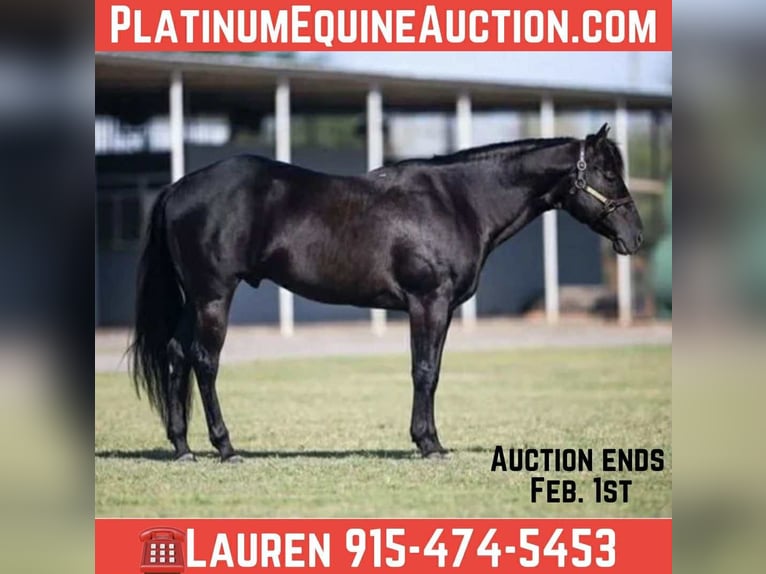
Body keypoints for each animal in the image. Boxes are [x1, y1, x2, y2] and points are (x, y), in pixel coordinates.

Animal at [130, 123, 643, 462]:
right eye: (608, 173)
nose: (635, 237)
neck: (459, 201)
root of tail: (178, 188)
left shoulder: (438, 308)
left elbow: (430, 370)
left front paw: (428, 439)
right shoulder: (429, 302)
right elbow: (425, 372)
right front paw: (429, 444)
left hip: (195, 299)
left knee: (176, 354)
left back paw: (182, 448)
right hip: (214, 296)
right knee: (204, 361)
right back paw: (225, 447)